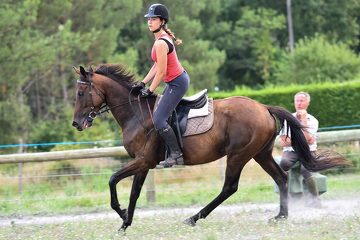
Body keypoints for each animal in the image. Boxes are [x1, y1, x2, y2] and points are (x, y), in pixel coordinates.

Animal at [71, 63, 348, 231]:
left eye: (81, 94)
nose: (76, 123)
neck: (135, 113)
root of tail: (263, 107)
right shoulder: (143, 164)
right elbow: (134, 192)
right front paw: (125, 222)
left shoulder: (143, 161)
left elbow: (112, 179)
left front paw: (120, 214)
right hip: (260, 153)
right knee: (280, 178)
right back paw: (281, 216)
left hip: (238, 155)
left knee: (229, 187)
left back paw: (194, 217)